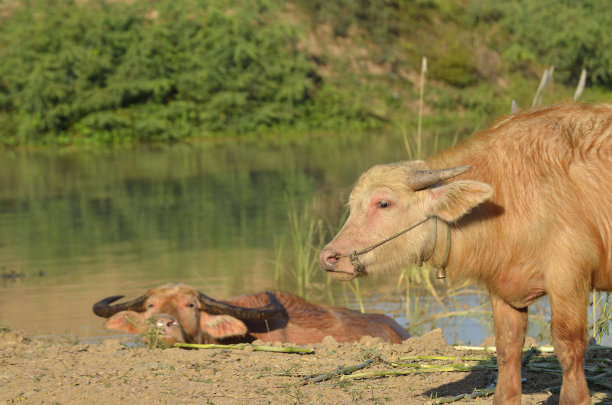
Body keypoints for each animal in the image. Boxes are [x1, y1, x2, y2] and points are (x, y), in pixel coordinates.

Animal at [320, 104, 612, 404]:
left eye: (383, 203)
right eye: (351, 205)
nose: (329, 257)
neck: (512, 194)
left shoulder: (569, 280)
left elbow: (568, 347)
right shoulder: (503, 288)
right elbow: (507, 347)